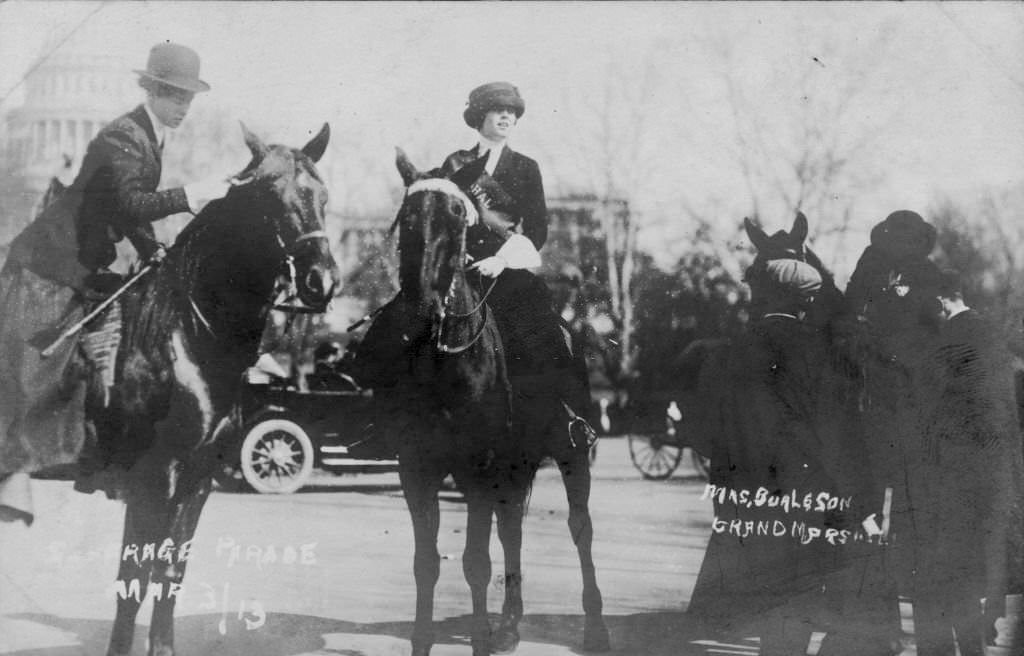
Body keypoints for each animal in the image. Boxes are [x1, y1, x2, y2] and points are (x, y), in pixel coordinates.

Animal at [96, 123, 337, 654]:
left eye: (324, 196)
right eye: (268, 196)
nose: (322, 281)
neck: (187, 335)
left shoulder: (197, 477)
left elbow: (169, 574)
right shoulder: (153, 477)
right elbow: (133, 579)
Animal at [382, 151, 606, 654]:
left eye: (457, 214)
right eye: (408, 217)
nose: (422, 309)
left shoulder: (480, 471)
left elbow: (475, 563)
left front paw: (480, 640)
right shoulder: (417, 471)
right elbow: (427, 563)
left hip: (570, 454)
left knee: (580, 529)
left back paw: (593, 628)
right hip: (516, 466)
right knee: (513, 530)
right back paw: (510, 624)